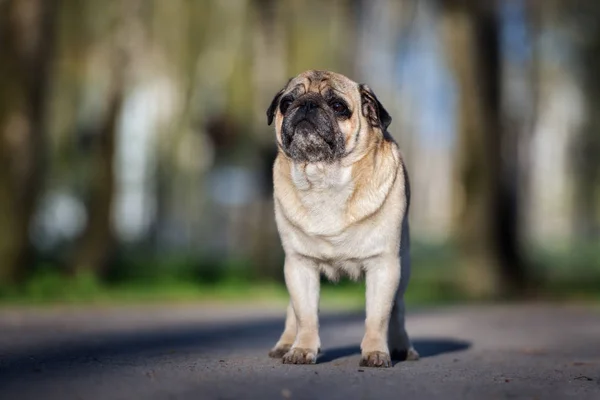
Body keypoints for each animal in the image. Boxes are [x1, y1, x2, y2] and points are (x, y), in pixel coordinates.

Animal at [266, 70, 418, 368]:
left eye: (338, 106)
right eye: (286, 103)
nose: (307, 104)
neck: (323, 177)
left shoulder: (384, 266)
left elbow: (378, 317)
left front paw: (375, 352)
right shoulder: (300, 265)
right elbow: (305, 315)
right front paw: (302, 348)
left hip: (402, 266)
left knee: (398, 310)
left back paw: (402, 347)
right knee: (293, 309)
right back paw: (286, 343)